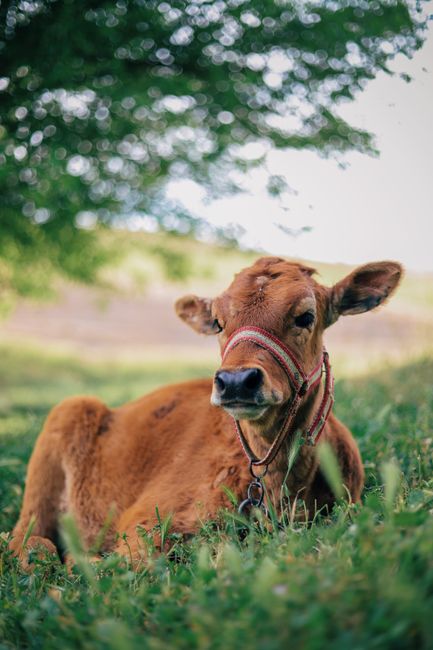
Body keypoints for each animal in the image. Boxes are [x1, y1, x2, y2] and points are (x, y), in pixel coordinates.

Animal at [10, 257, 402, 568]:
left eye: (305, 316)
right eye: (218, 322)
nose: (237, 380)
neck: (279, 487)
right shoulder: (142, 526)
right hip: (62, 423)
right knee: (26, 542)